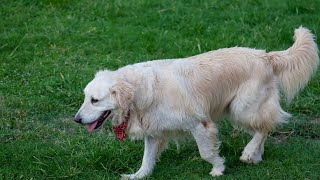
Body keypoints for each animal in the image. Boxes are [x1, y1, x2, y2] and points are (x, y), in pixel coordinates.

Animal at [74, 27, 318, 179]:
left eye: (95, 100)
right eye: (85, 97)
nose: (76, 119)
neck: (139, 91)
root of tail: (265, 56)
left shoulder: (199, 124)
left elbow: (206, 153)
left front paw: (218, 169)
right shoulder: (153, 130)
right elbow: (147, 159)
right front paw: (137, 176)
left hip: (242, 108)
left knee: (265, 127)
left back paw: (248, 153)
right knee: (263, 127)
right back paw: (255, 155)